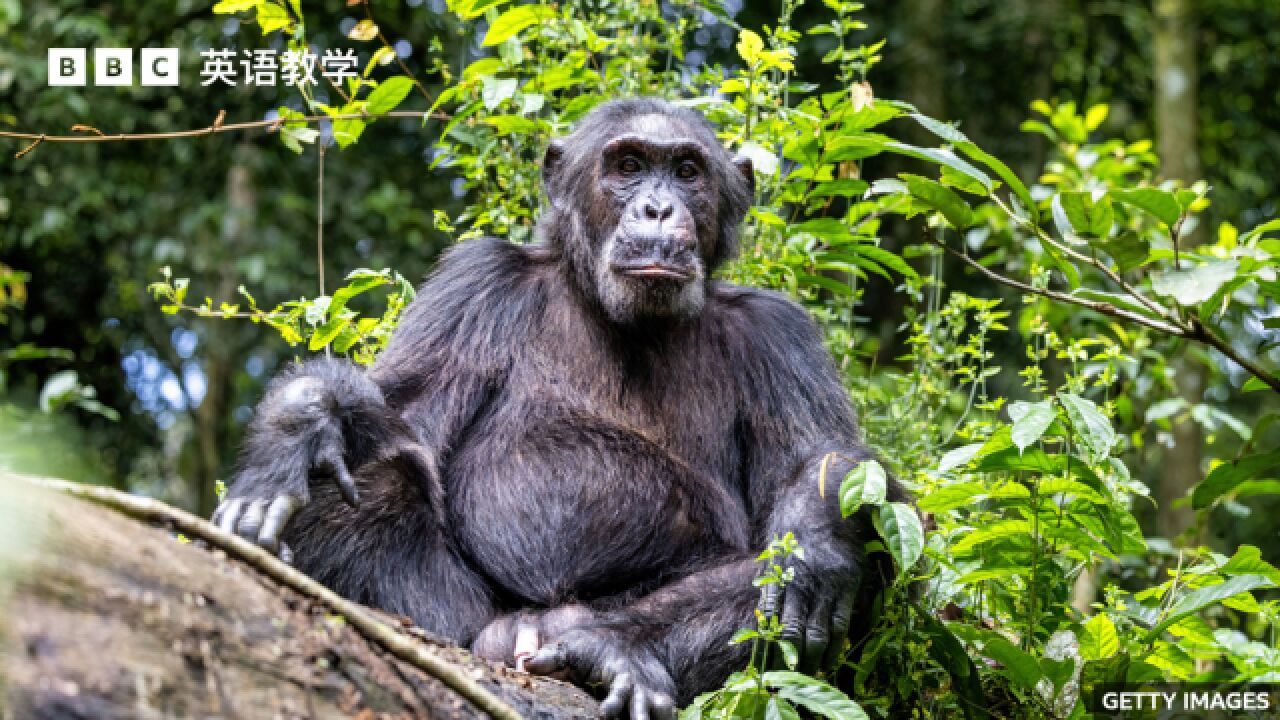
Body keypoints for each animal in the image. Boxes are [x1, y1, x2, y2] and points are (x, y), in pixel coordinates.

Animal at [215, 96, 896, 717]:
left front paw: (815, 545)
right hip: (460, 619)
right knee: (374, 474)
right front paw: (297, 426)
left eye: (687, 172)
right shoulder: (475, 284)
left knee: (868, 551)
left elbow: (816, 458)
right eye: (628, 165)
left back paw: (614, 648)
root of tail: (529, 630)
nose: (657, 207)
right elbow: (402, 408)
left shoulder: (779, 334)